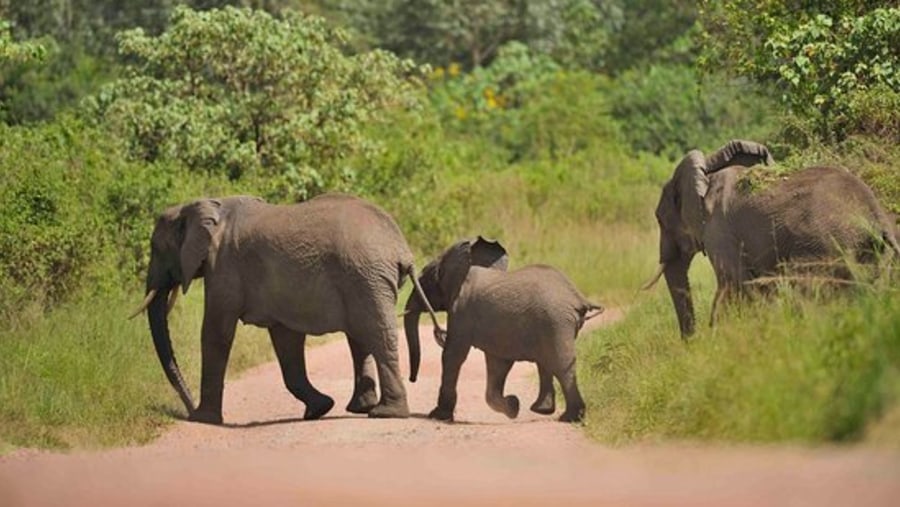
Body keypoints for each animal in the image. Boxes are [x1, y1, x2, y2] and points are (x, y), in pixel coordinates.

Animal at [129, 194, 442, 424]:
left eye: (156, 248)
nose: (188, 409)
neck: (205, 205)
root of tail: (401, 248)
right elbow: (286, 340)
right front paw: (319, 409)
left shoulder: (224, 267)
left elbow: (217, 332)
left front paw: (204, 420)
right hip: (365, 280)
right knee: (361, 338)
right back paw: (361, 409)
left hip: (365, 277)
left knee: (376, 334)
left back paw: (386, 414)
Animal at [402, 238, 600, 424]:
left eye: (424, 280)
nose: (412, 379)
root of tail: (578, 297)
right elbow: (498, 364)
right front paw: (513, 407)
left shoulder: (462, 310)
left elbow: (453, 355)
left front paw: (437, 416)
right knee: (548, 361)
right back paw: (543, 410)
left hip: (556, 320)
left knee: (560, 363)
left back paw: (570, 417)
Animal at [644, 139, 896, 340]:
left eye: (660, 220)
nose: (690, 342)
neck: (707, 175)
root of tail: (877, 215)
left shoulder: (719, 231)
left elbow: (734, 285)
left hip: (827, 248)